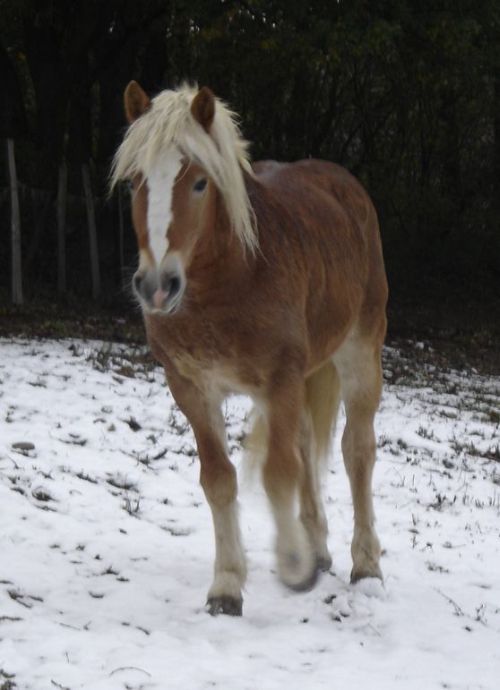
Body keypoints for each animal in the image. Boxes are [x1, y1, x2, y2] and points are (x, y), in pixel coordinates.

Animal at [111, 80, 388, 612]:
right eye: (135, 183)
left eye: (199, 183)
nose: (157, 286)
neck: (234, 275)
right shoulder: (192, 388)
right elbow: (219, 480)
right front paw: (226, 586)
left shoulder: (279, 380)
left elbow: (278, 473)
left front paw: (293, 566)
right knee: (307, 443)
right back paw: (319, 548)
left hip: (360, 351)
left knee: (357, 451)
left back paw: (365, 566)